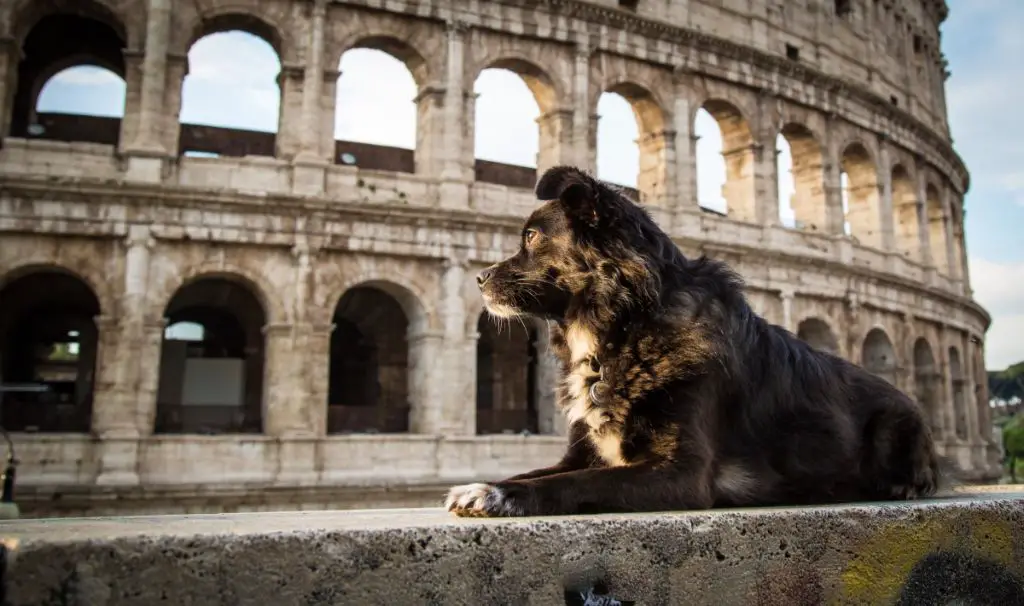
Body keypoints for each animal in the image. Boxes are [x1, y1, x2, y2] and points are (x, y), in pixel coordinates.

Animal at [444, 164, 946, 515]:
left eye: (531, 236)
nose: (479, 279)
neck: (625, 329)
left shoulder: (679, 473)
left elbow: (566, 486)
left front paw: (492, 494)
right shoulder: (583, 453)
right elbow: (538, 472)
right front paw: (484, 484)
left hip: (895, 424)